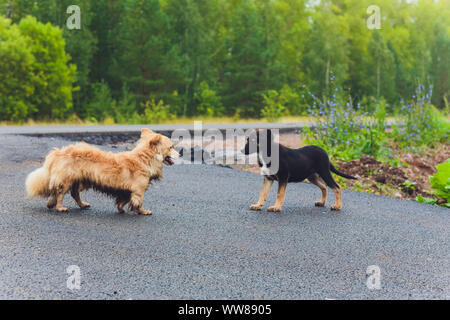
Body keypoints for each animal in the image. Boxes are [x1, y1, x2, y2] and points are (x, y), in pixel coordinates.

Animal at [25, 129, 178, 215]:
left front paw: (121, 209)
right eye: (171, 147)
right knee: (60, 193)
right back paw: (60, 207)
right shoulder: (138, 191)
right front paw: (143, 211)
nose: (181, 154)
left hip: (76, 179)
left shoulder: (126, 189)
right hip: (67, 178)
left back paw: (76, 204)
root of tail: (58, 152)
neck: (144, 158)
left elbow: (123, 200)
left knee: (70, 193)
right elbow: (138, 202)